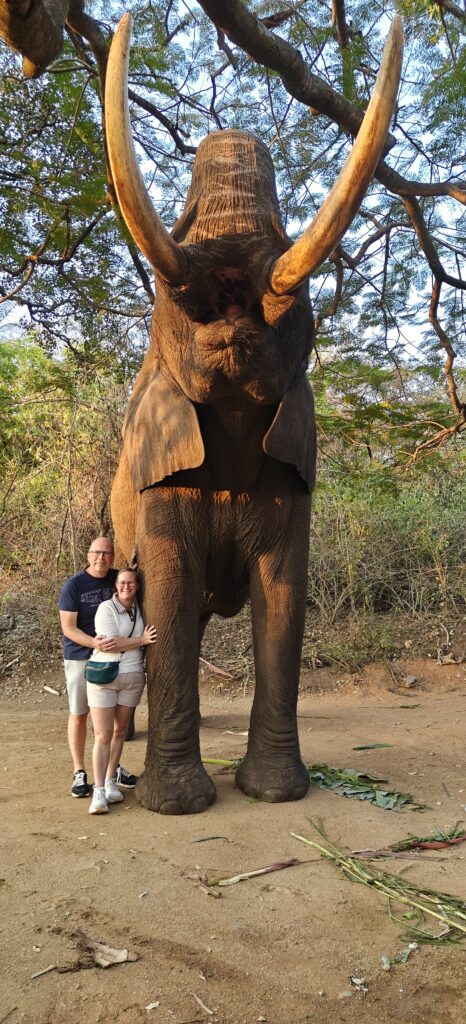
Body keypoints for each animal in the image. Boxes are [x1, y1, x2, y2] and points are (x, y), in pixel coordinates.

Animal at [105, 15, 403, 814]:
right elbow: (168, 594)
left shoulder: (294, 470)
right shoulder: (159, 479)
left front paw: (276, 795)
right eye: (163, 304)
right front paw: (179, 806)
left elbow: (283, 595)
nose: (235, 290)